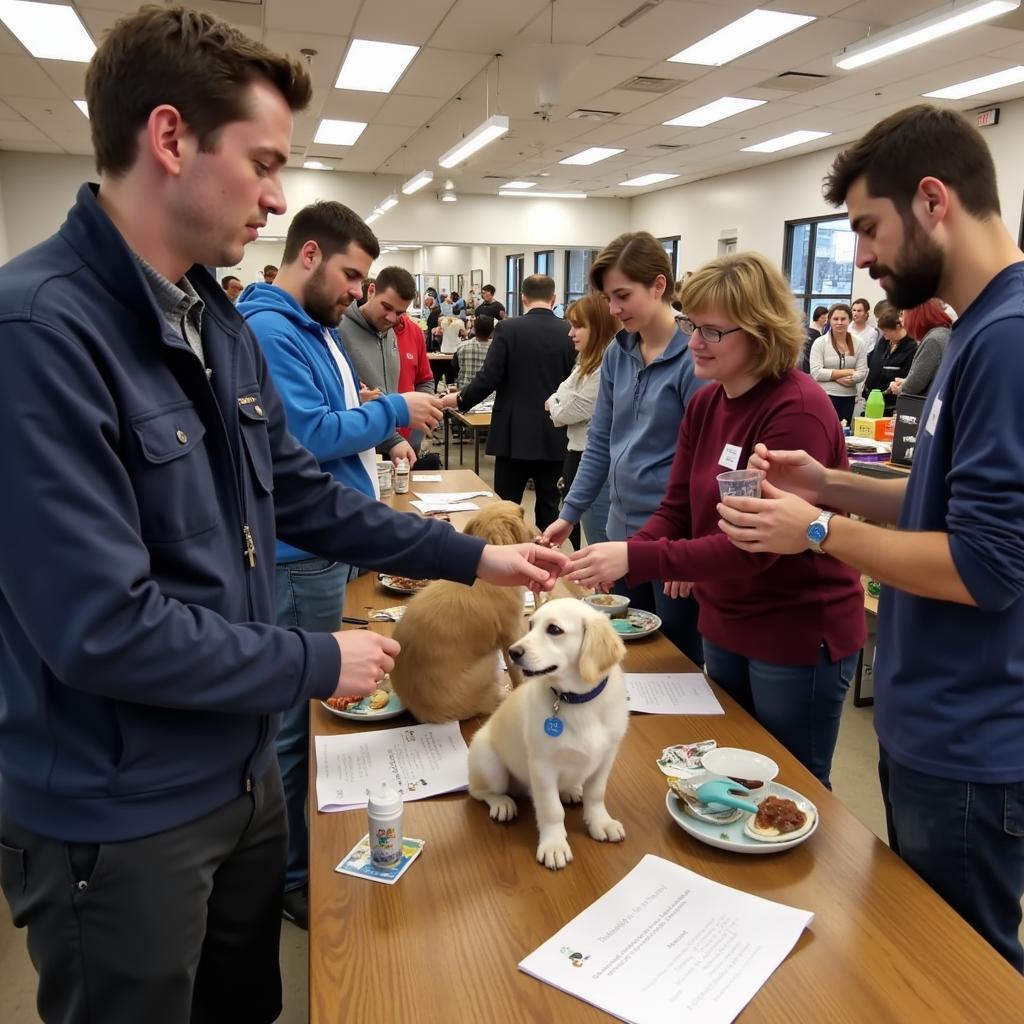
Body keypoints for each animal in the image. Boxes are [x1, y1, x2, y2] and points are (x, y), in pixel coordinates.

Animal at [468, 598, 626, 872]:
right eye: (530, 625)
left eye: (554, 629)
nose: (513, 652)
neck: (576, 701)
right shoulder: (543, 768)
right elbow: (552, 810)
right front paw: (554, 845)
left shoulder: (606, 759)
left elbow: (596, 795)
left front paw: (600, 822)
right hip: (490, 766)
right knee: (478, 791)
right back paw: (501, 803)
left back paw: (571, 789)